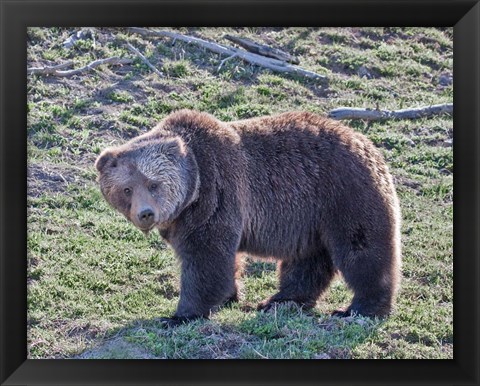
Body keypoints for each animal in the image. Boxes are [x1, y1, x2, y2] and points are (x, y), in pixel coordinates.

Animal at [95, 108, 400, 326]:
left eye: (153, 184)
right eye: (126, 189)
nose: (146, 214)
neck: (193, 187)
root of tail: (367, 143)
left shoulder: (217, 195)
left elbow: (205, 259)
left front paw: (179, 315)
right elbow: (221, 260)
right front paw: (230, 296)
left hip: (344, 194)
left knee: (362, 250)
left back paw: (359, 309)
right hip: (311, 217)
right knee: (307, 260)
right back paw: (280, 300)